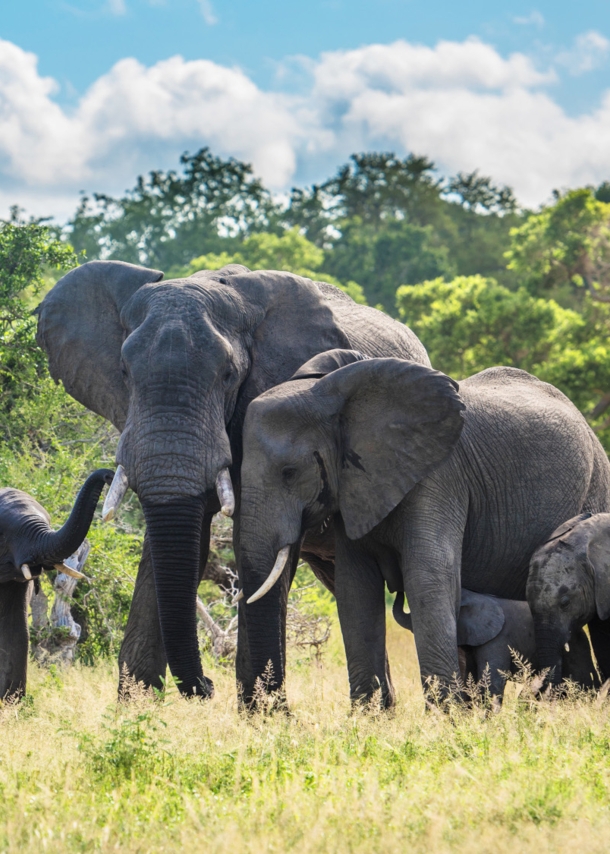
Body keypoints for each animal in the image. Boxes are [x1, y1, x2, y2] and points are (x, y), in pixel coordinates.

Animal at [35, 260, 430, 704]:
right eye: (123, 372)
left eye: (228, 375)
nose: (208, 686)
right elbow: (176, 543)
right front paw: (134, 709)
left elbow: (251, 542)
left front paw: (262, 712)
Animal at [392, 588, 596, 704]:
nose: (396, 590)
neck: (475, 597)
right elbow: (470, 679)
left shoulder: (497, 639)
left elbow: (491, 681)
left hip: (576, 646)